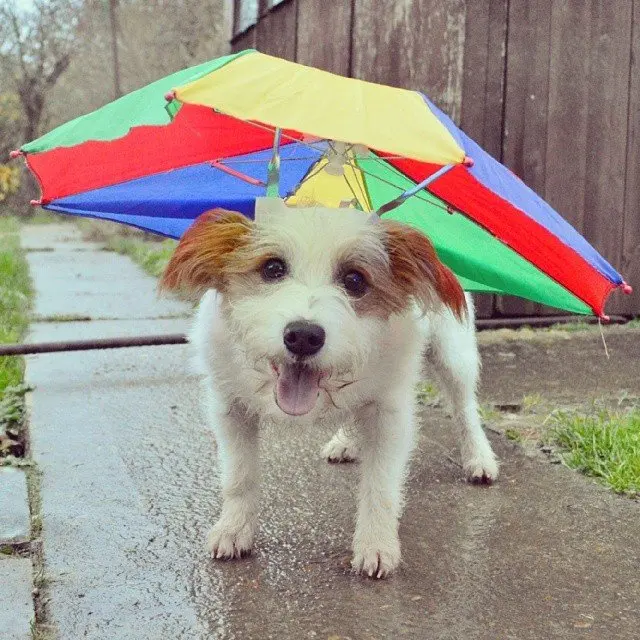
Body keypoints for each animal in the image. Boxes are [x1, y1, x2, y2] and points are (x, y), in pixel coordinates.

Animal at [159, 201, 496, 580]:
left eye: (354, 280)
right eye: (272, 268)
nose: (303, 336)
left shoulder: (390, 414)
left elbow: (381, 485)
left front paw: (376, 544)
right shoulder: (230, 408)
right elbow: (239, 476)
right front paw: (234, 529)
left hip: (455, 356)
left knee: (465, 409)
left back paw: (479, 458)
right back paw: (346, 441)